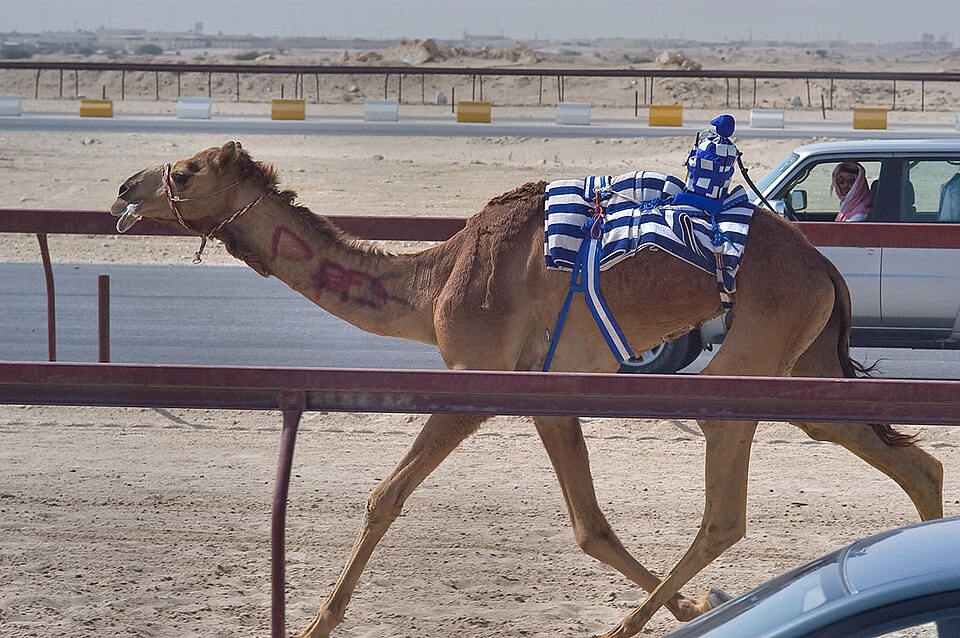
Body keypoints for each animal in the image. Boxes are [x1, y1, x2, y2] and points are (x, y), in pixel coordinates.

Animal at [111, 141, 944, 638]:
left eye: (187, 171)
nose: (124, 187)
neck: (433, 284)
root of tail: (824, 265)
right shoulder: (548, 393)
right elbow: (589, 526)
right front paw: (694, 604)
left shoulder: (478, 381)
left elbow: (385, 496)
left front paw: (317, 623)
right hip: (804, 366)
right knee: (913, 462)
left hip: (751, 355)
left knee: (725, 514)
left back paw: (625, 628)